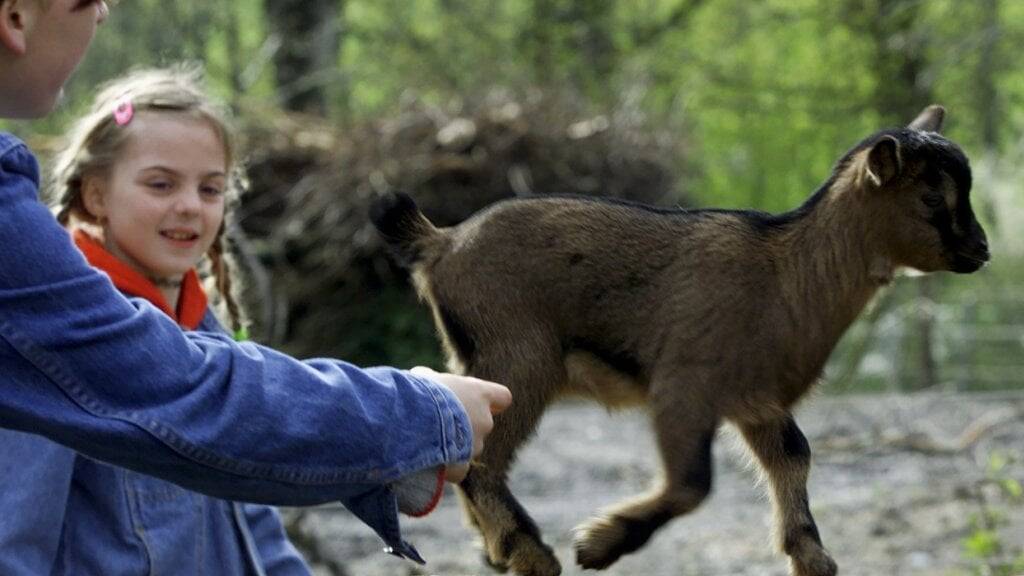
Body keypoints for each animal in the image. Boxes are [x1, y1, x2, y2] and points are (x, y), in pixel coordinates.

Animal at [372, 106, 987, 573]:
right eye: (932, 198)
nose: (981, 250)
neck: (788, 272)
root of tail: (441, 242)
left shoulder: (757, 401)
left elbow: (795, 457)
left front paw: (812, 558)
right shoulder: (685, 388)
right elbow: (693, 482)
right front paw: (599, 544)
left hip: (483, 357)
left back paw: (498, 550)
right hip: (520, 359)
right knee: (480, 460)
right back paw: (531, 554)